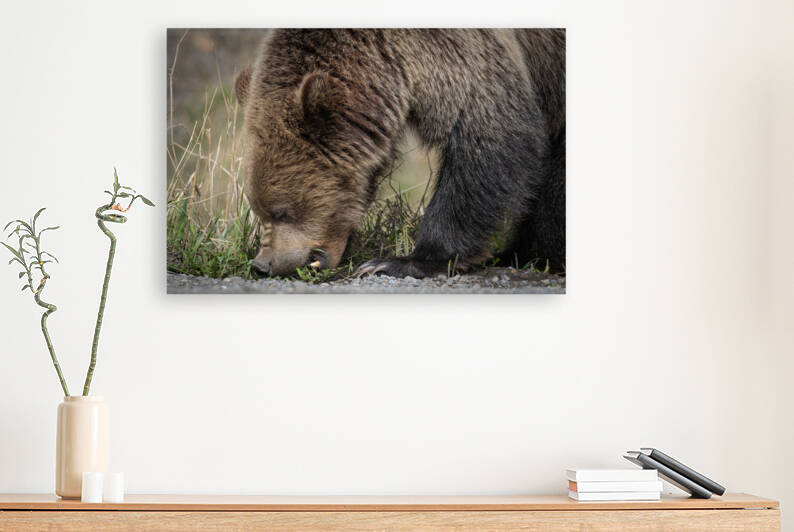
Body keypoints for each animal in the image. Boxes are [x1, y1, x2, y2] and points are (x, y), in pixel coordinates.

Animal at [235, 29, 565, 278]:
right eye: (258, 208)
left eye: (282, 211)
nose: (263, 265)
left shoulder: (461, 53)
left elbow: (489, 138)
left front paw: (400, 262)